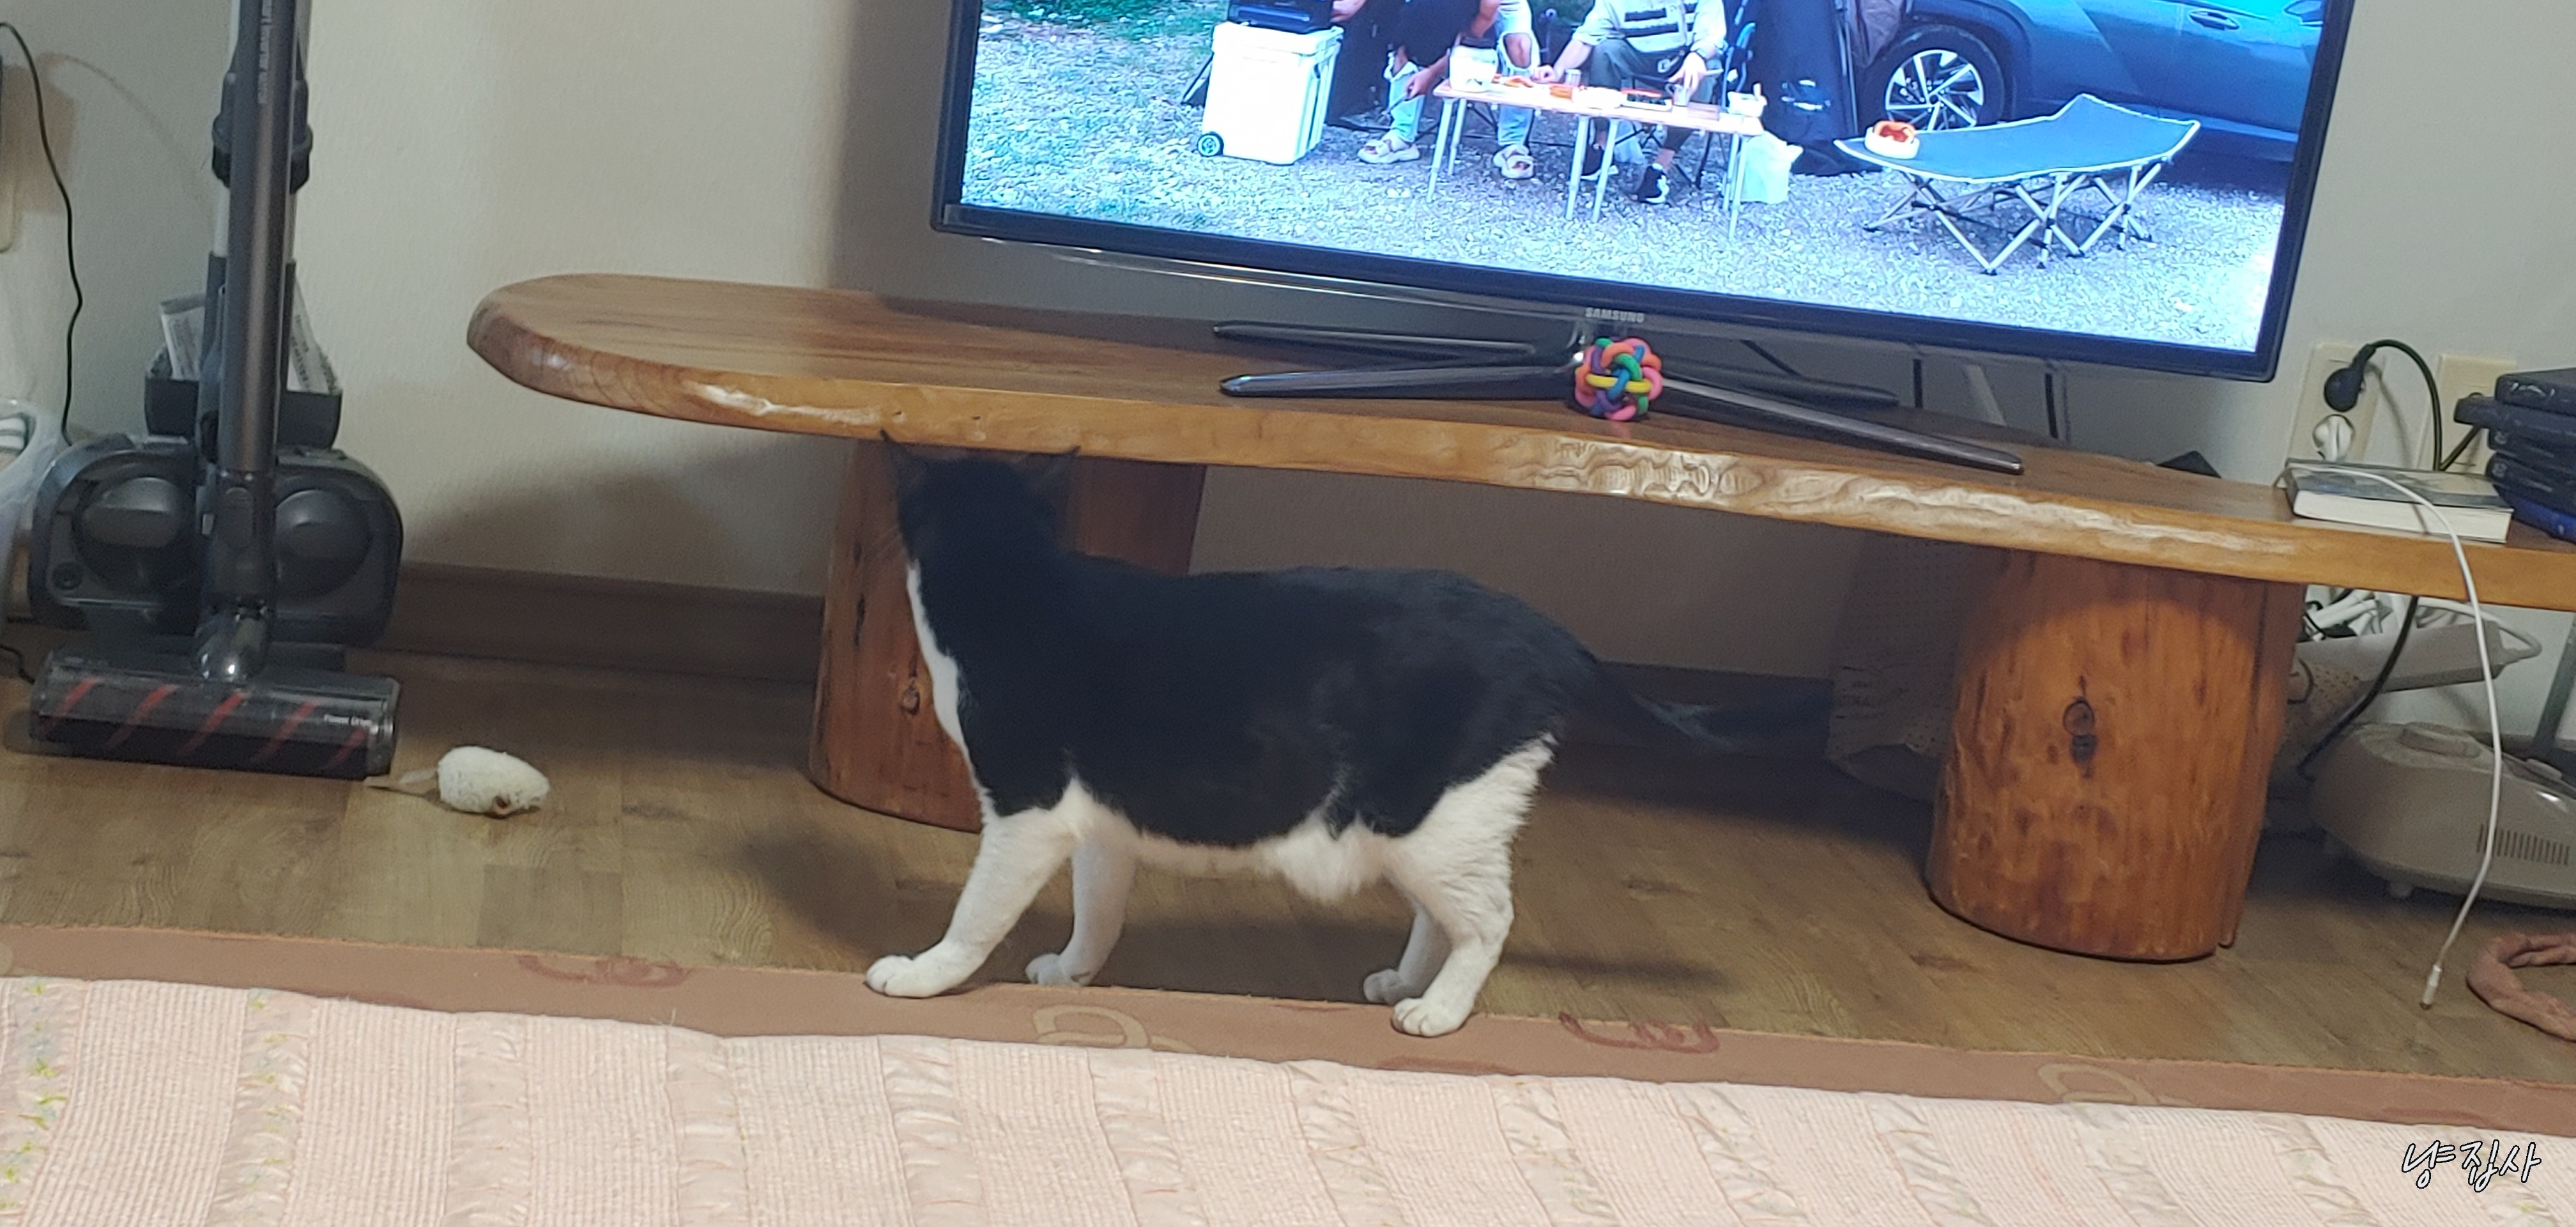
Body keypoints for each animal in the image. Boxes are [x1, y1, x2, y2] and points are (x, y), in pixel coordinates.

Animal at [861, 445, 1819, 1036]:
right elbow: (1099, 908)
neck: (1012, 576)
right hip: (1427, 829)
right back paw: (1407, 982)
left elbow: (976, 914)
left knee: (1491, 917)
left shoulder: (1027, 810)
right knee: (1445, 912)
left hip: (1431, 819)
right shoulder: (1102, 823)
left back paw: (1439, 1011)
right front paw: (1073, 973)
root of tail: (1548, 632)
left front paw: (925, 975)